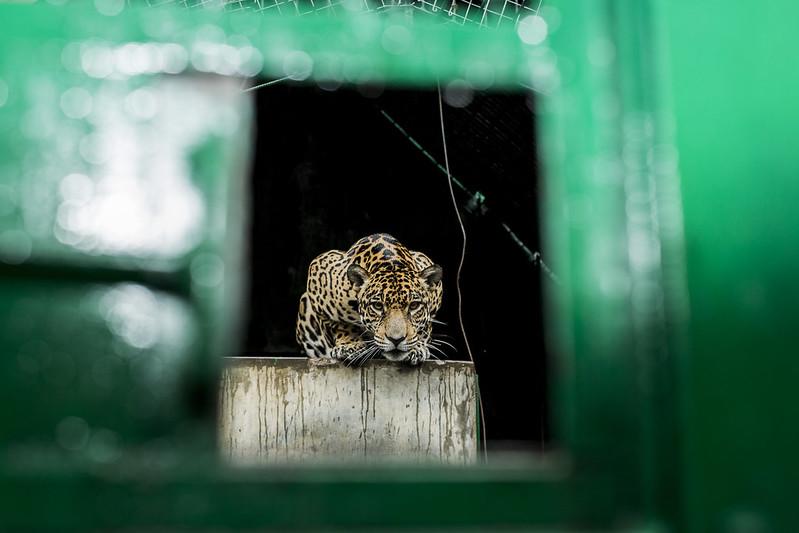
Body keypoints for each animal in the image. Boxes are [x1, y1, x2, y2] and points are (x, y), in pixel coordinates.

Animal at [296, 234, 443, 366]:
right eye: (377, 306)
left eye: (414, 306)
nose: (396, 340)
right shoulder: (318, 275)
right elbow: (341, 325)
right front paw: (351, 345)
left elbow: (424, 325)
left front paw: (416, 347)